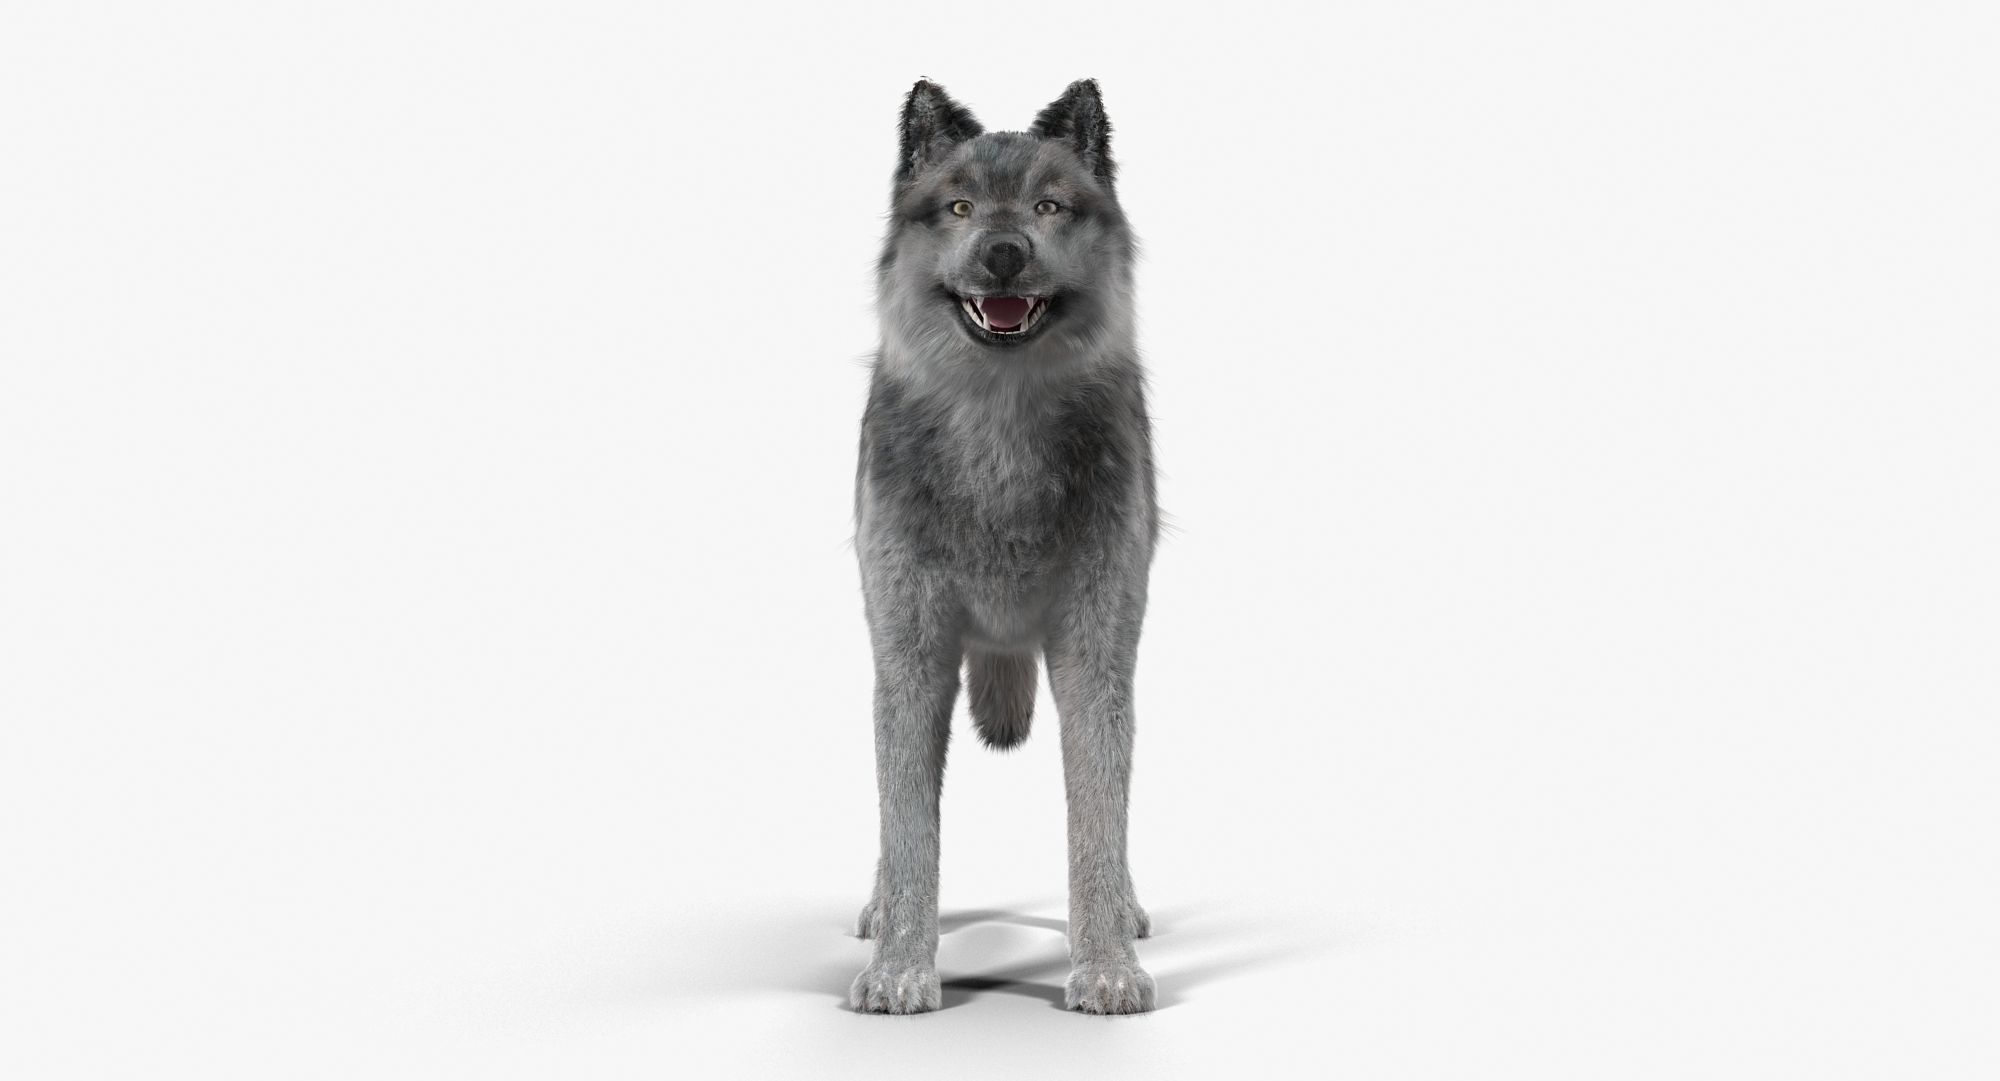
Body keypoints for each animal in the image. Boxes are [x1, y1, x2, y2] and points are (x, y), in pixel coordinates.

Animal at [849, 78, 1160, 1015]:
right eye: (958, 207)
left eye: (1048, 206)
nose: (1003, 253)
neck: (1000, 439)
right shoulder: (909, 661)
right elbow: (908, 827)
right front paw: (901, 968)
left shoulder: (1097, 658)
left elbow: (1098, 816)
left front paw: (1107, 966)